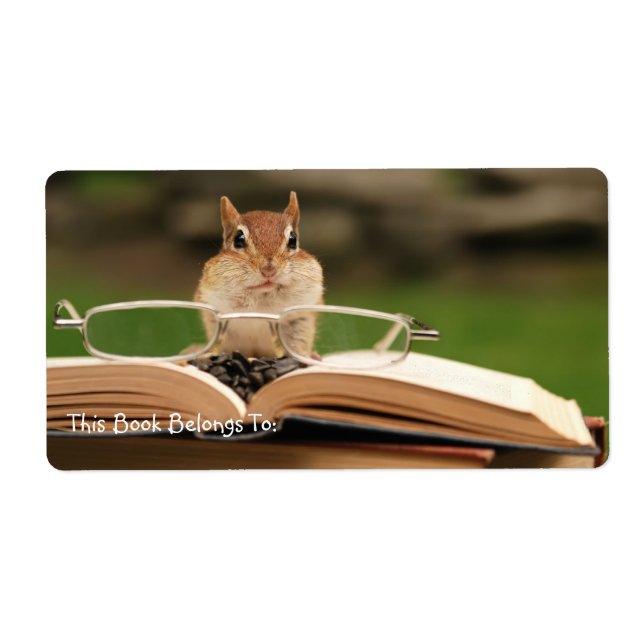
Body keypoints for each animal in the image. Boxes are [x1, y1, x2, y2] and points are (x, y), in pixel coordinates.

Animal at [194, 191, 324, 358]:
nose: (269, 269)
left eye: (293, 239)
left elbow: (298, 343)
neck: (262, 297)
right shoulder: (215, 316)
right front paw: (207, 355)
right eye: (238, 239)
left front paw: (307, 356)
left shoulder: (301, 317)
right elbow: (219, 342)